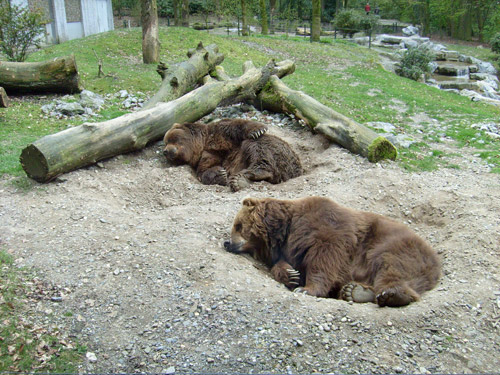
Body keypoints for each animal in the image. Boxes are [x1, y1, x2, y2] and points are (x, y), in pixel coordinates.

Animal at [164, 119, 302, 192]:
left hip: (281, 152)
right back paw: (240, 181)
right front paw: (220, 174)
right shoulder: (206, 157)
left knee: (255, 147)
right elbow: (205, 170)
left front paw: (257, 130)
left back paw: (243, 177)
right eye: (166, 142)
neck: (203, 144)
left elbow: (234, 126)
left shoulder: (219, 133)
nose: (165, 151)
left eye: (171, 139)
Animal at [225, 197, 440, 308]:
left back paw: (392, 295)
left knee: (391, 266)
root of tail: (436, 258)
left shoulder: (327, 227)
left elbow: (325, 257)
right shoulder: (290, 249)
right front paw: (291, 275)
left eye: (238, 225)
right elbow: (284, 265)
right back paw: (354, 291)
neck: (285, 231)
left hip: (394, 246)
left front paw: (307, 288)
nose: (227, 242)